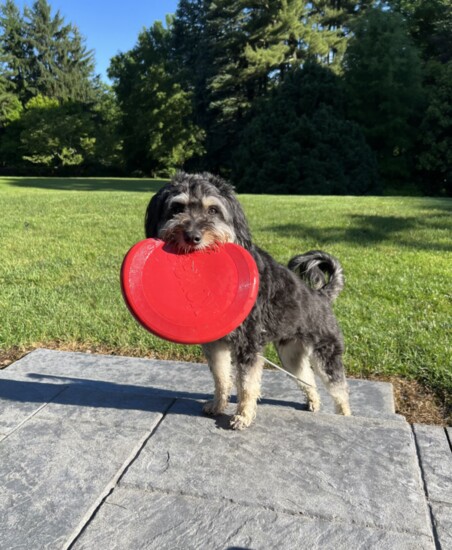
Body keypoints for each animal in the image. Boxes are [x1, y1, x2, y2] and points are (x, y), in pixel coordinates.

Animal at [147, 172, 352, 432]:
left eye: (213, 210)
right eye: (177, 208)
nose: (192, 237)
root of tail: (322, 295)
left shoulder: (249, 346)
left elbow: (246, 385)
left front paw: (242, 416)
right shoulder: (215, 345)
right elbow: (221, 378)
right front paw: (217, 405)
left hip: (327, 355)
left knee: (340, 391)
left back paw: (345, 417)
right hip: (290, 355)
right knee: (308, 378)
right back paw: (313, 403)